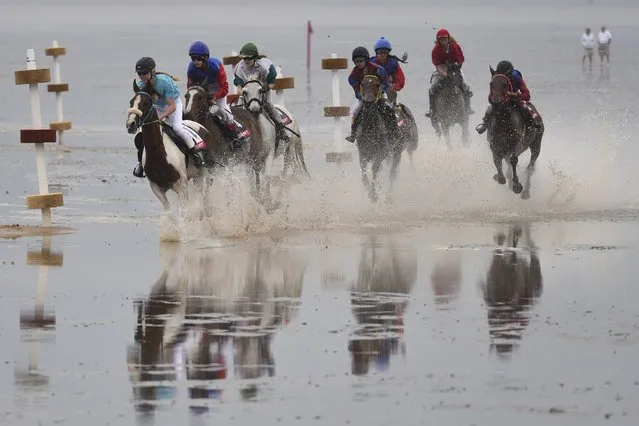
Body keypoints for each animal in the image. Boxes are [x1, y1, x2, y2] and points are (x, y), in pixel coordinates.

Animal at [125, 80, 220, 211]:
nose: (131, 124)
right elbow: (170, 212)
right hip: (198, 175)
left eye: (146, 102)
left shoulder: (182, 187)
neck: (159, 155)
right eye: (131, 102)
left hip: (210, 170)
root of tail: (202, 127)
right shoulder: (157, 189)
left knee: (207, 191)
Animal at [239, 78, 312, 208]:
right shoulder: (250, 160)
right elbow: (252, 188)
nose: (254, 109)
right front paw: (261, 198)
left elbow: (267, 178)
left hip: (289, 151)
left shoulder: (269, 154)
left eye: (260, 90)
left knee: (284, 177)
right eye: (245, 92)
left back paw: (278, 198)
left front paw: (268, 201)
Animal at [484, 70, 544, 201]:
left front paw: (517, 185)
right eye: (491, 83)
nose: (496, 100)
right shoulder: (494, 145)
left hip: (536, 143)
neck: (503, 123)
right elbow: (497, 160)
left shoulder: (517, 144)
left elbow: (513, 160)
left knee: (530, 167)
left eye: (505, 84)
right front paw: (500, 177)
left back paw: (525, 192)